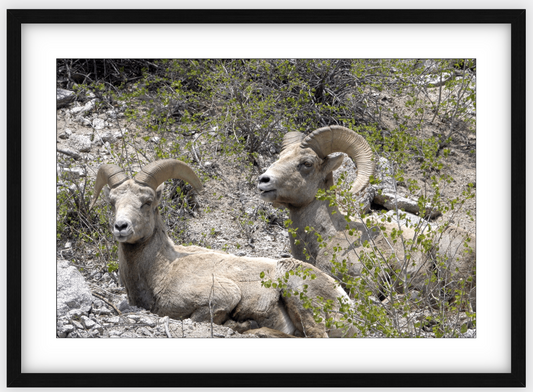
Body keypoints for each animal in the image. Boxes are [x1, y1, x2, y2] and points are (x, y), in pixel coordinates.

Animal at [92, 158, 356, 336]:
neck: (162, 271)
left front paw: (242, 323)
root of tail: (345, 301)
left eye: (146, 202)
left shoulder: (222, 296)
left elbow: (203, 318)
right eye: (112, 202)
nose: (121, 227)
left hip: (300, 296)